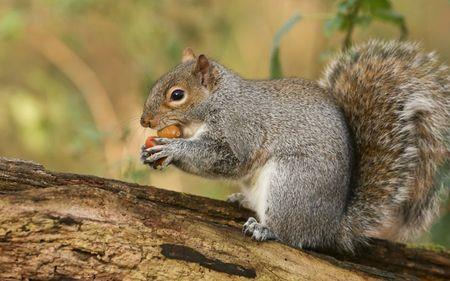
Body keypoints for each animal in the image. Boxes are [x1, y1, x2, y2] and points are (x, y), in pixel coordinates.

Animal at [139, 40, 448, 252]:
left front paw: (171, 149)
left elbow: (223, 159)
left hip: (290, 183)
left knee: (292, 235)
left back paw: (265, 230)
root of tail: (330, 227)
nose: (144, 120)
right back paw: (242, 201)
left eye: (177, 95)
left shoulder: (240, 130)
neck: (218, 101)